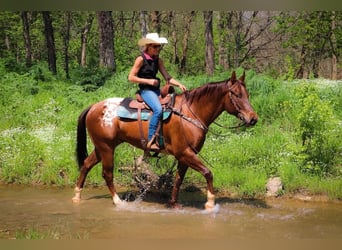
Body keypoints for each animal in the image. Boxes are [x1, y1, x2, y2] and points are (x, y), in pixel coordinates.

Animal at [73, 71, 258, 210]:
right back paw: (117, 201)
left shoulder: (184, 156)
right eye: (236, 94)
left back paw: (76, 196)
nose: (253, 118)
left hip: (102, 147)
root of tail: (94, 106)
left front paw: (173, 203)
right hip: (106, 148)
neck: (190, 113)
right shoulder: (184, 153)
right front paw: (210, 203)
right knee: (107, 173)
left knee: (86, 165)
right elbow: (207, 172)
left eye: (247, 94)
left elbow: (178, 179)